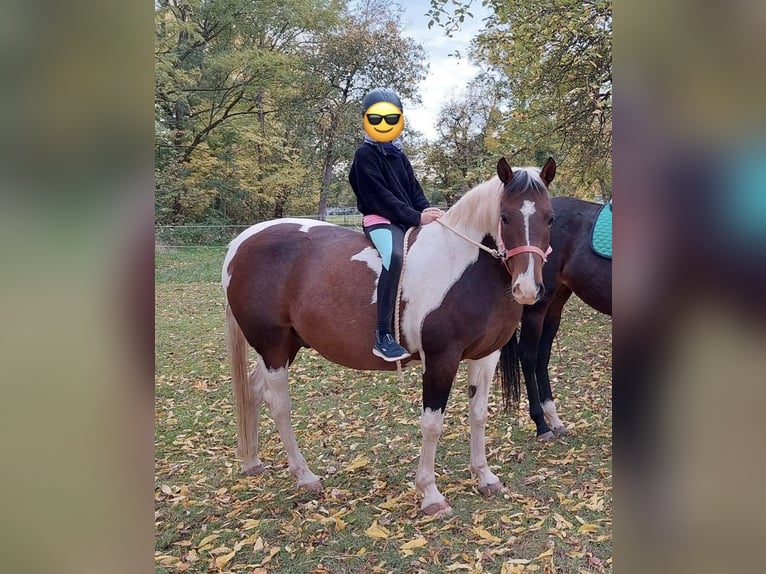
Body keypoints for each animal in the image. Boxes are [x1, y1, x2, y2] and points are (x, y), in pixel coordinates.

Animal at [222, 157, 555, 516]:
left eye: (550, 217)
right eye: (504, 216)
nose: (527, 289)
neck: (465, 266)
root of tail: (241, 243)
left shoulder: (485, 356)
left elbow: (478, 414)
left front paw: (484, 477)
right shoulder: (440, 360)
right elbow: (432, 424)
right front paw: (430, 494)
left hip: (283, 346)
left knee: (254, 391)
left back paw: (253, 462)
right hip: (272, 346)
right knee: (279, 403)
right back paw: (305, 476)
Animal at [509, 196, 612, 440]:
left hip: (555, 302)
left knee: (542, 355)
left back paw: (554, 419)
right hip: (535, 306)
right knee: (528, 355)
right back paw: (542, 425)